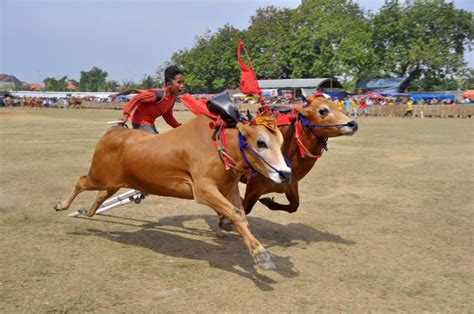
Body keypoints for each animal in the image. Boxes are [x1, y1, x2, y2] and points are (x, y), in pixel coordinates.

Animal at [55, 114, 292, 270]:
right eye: (261, 143)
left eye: (281, 141)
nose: (285, 173)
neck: (220, 146)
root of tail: (112, 132)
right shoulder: (203, 190)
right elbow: (236, 214)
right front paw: (261, 254)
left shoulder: (229, 188)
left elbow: (239, 215)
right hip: (98, 177)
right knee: (80, 182)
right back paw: (62, 206)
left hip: (113, 182)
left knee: (100, 196)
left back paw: (88, 211)